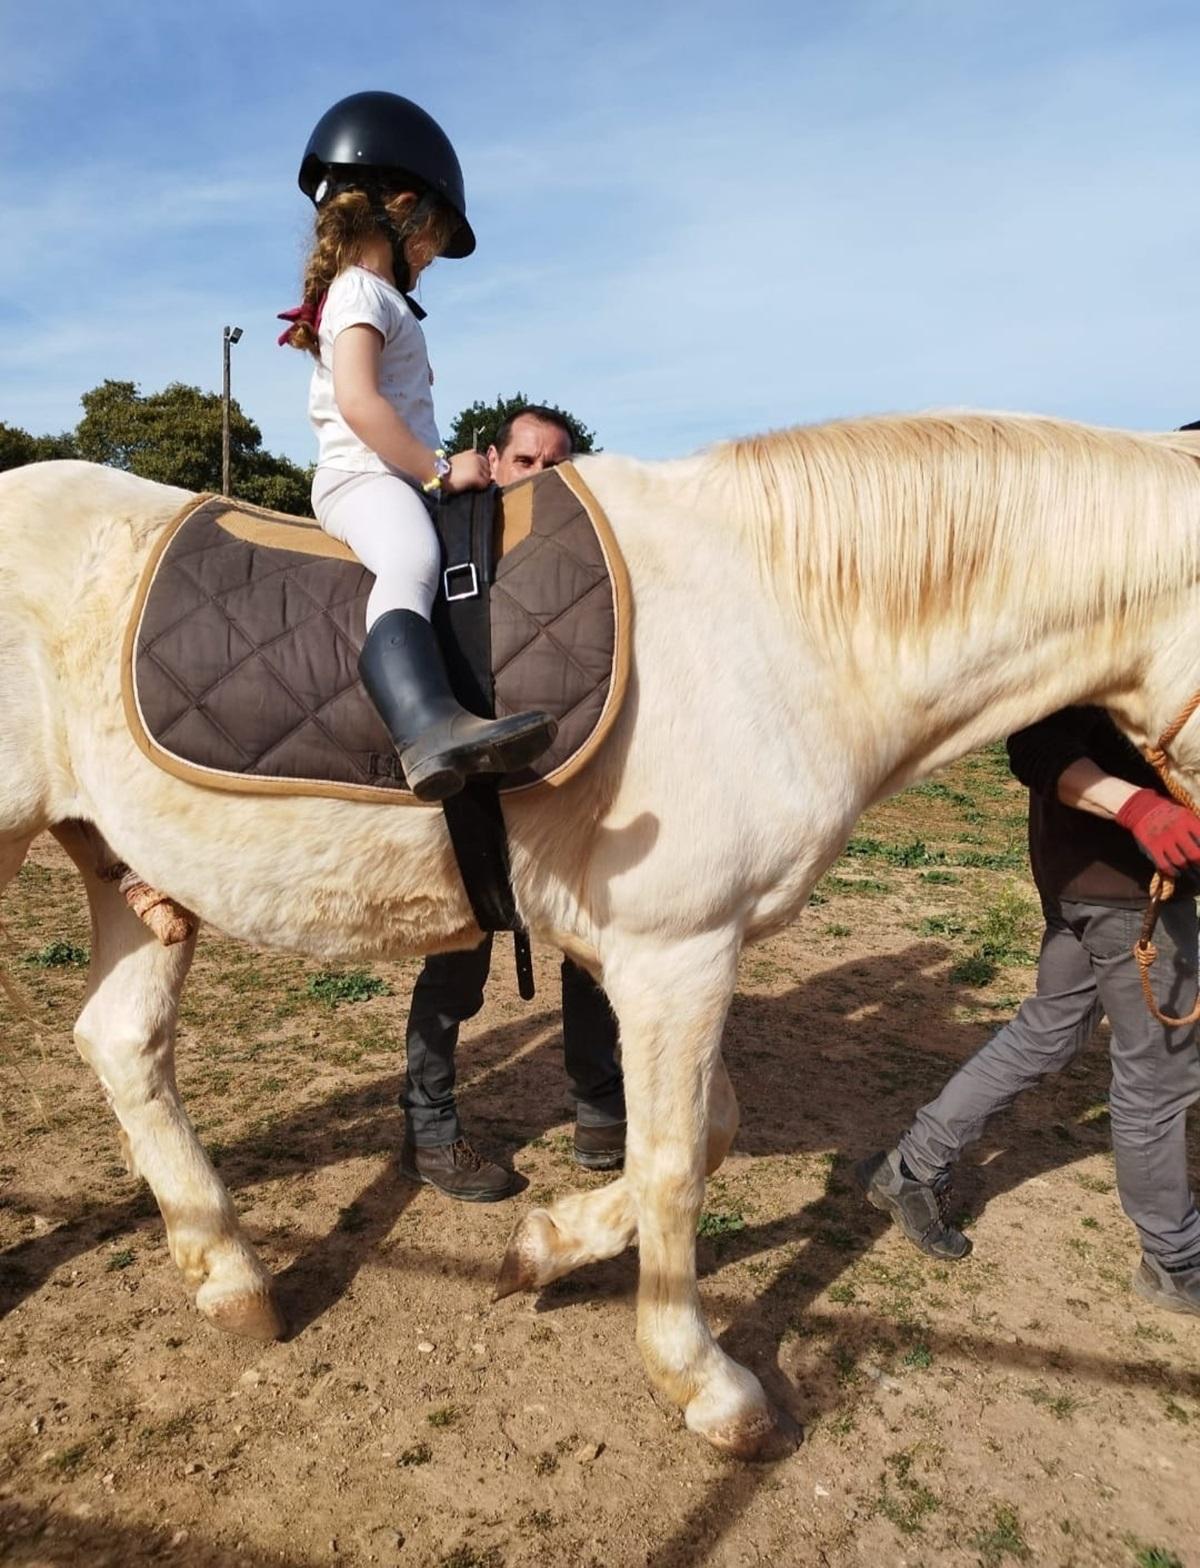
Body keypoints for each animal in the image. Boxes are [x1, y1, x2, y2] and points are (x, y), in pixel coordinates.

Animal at [4, 413, 1200, 1461]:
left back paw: (231, 1278)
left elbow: (705, 1133)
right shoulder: (679, 952)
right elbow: (673, 1165)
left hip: (125, 868)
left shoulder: (650, 952)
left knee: (123, 1042)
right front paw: (705, 1382)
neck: (775, 623)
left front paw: (544, 1249)